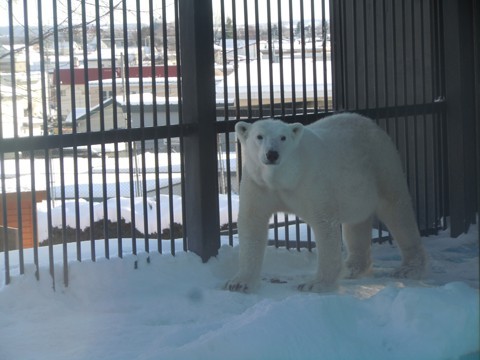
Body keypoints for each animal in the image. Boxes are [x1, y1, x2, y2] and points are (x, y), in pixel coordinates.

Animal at [226, 112, 428, 292]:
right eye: (259, 136)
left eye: (283, 137)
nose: (272, 154)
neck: (284, 177)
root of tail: (371, 124)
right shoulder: (258, 183)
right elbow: (252, 222)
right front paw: (239, 283)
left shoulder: (311, 180)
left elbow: (324, 223)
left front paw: (315, 284)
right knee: (356, 221)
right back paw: (352, 268)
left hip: (382, 164)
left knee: (397, 210)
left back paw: (409, 268)